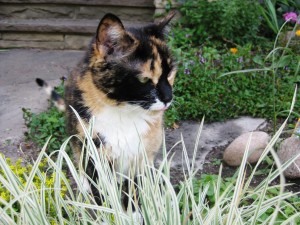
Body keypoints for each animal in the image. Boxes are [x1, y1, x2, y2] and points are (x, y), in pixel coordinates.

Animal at [36, 11, 176, 214]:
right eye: (144, 79)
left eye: (171, 72)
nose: (168, 97)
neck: (124, 113)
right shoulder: (93, 153)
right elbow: (101, 193)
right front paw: (111, 213)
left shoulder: (141, 157)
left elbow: (135, 188)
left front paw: (134, 214)